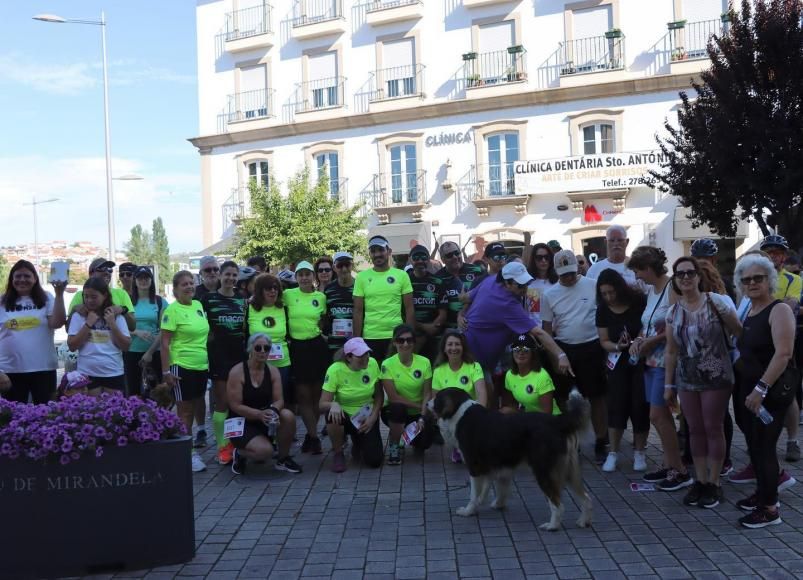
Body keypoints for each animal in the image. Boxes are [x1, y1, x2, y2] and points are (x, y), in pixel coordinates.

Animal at [430, 386, 592, 532]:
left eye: (437, 397)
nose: (427, 404)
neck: (460, 413)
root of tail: (557, 421)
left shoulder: (475, 466)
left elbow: (474, 493)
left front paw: (468, 511)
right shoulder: (494, 466)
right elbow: (493, 488)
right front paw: (495, 504)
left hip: (544, 471)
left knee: (558, 504)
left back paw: (552, 526)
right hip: (570, 471)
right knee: (586, 498)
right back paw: (583, 522)